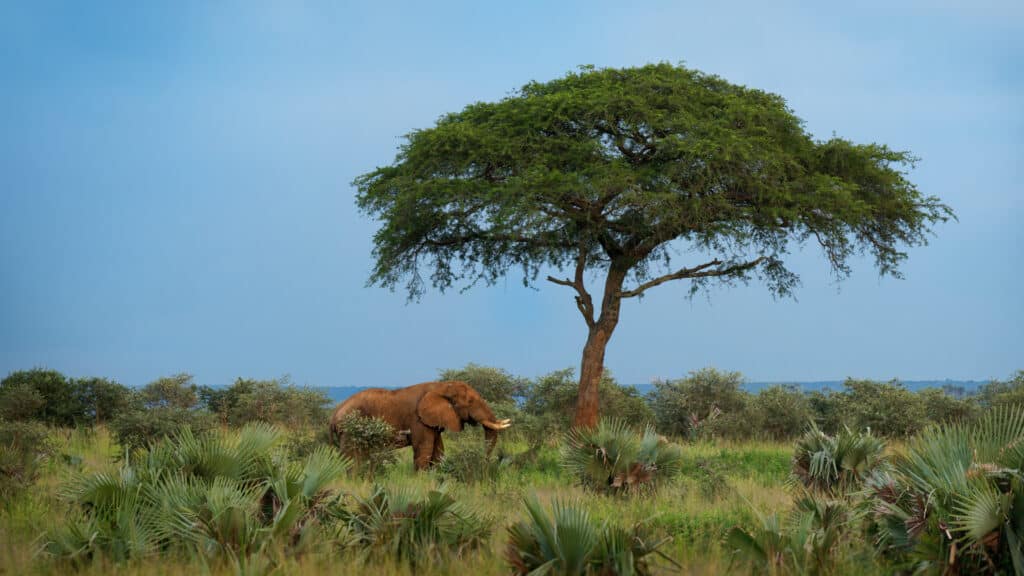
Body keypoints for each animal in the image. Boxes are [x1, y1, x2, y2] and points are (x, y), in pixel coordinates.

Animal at [328, 380, 512, 470]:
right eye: (471, 402)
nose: (485, 463)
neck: (441, 386)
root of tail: (334, 415)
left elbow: (438, 450)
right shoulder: (418, 420)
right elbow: (424, 449)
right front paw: (421, 480)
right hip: (349, 429)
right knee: (352, 457)